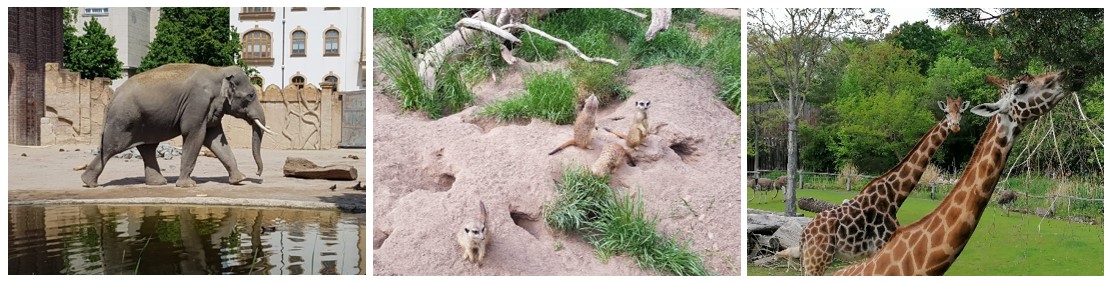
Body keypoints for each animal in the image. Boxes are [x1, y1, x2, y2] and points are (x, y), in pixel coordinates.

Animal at [80, 63, 275, 188]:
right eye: (250, 96)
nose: (258, 174)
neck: (219, 71)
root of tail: (113, 96)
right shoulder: (197, 103)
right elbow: (195, 135)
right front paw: (188, 186)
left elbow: (215, 139)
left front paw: (239, 180)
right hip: (123, 119)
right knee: (112, 147)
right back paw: (89, 183)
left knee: (148, 148)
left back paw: (158, 183)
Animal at [805, 96, 969, 275]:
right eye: (946, 112)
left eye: (961, 112)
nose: (955, 126)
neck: (894, 197)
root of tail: (804, 234)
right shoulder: (881, 244)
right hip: (818, 259)